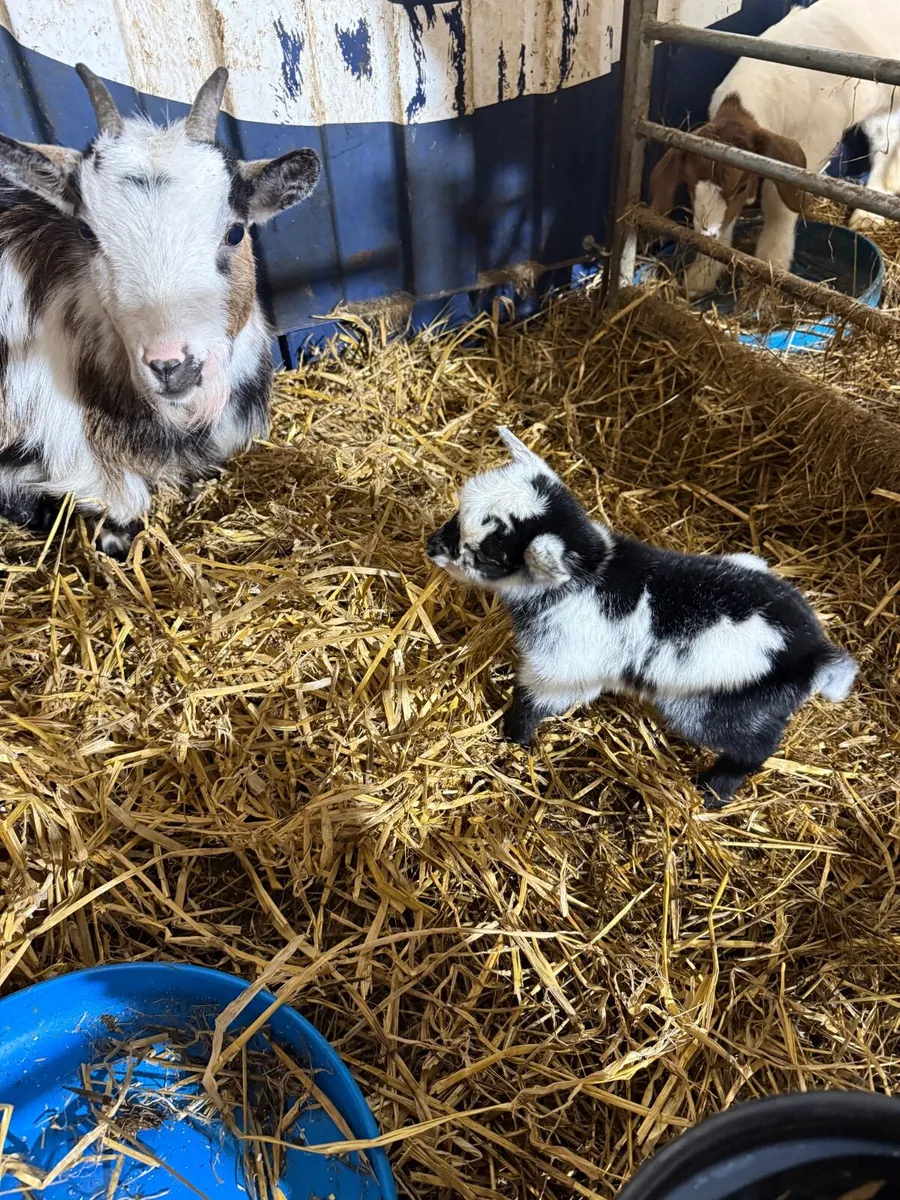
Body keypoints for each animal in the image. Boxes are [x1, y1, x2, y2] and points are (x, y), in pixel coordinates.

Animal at [426, 429, 857, 806]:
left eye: (490, 556)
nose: (431, 546)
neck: (592, 570)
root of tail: (813, 652)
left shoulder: (562, 666)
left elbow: (531, 702)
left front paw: (513, 739)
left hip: (717, 704)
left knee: (755, 747)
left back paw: (714, 791)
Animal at [648, 0, 900, 298]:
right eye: (687, 183)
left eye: (742, 187)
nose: (707, 232)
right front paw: (700, 277)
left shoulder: (811, 147)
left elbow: (778, 203)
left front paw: (772, 264)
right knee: (884, 140)